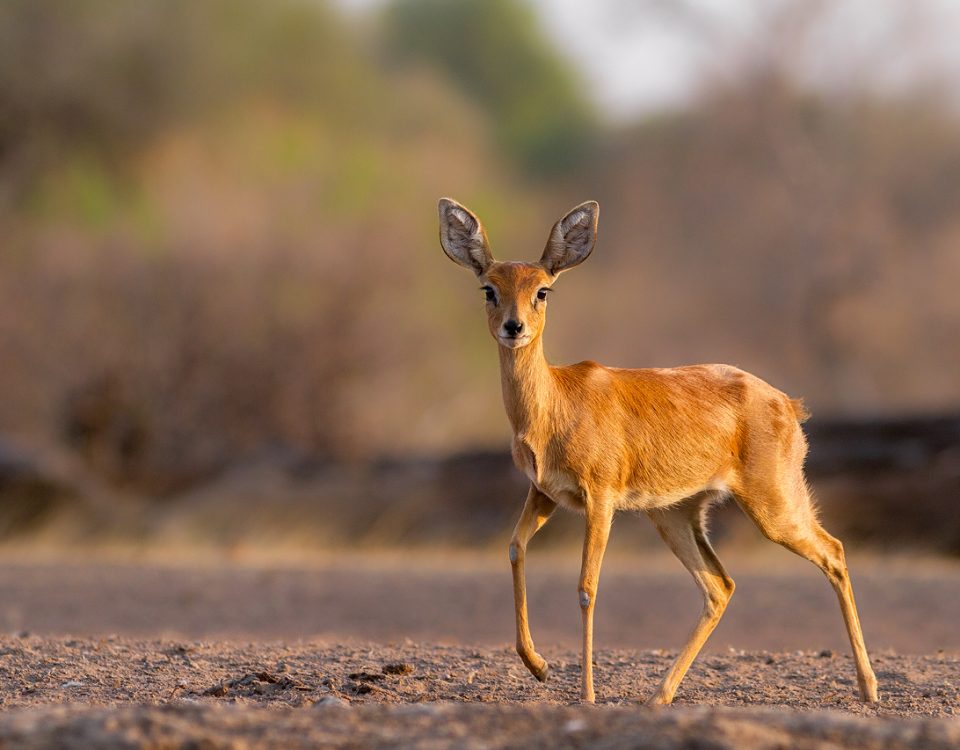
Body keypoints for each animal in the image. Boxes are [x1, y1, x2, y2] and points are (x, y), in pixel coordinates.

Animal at [437, 197, 879, 705]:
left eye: (543, 291)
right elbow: (514, 548)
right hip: (674, 514)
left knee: (834, 552)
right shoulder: (545, 493)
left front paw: (586, 694)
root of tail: (788, 404)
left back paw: (870, 689)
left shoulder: (601, 498)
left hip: (773, 506)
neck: (555, 403)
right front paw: (539, 666)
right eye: (489, 288)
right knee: (720, 586)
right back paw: (658, 695)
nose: (515, 327)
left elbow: (587, 585)